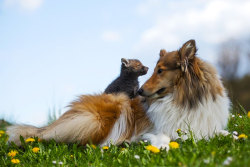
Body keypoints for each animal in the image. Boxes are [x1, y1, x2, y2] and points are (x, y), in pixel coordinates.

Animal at [7, 39, 230, 147]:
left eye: (160, 70)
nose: (139, 91)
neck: (183, 99)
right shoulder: (159, 128)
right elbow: (166, 137)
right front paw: (161, 145)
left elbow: (225, 133)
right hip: (102, 113)